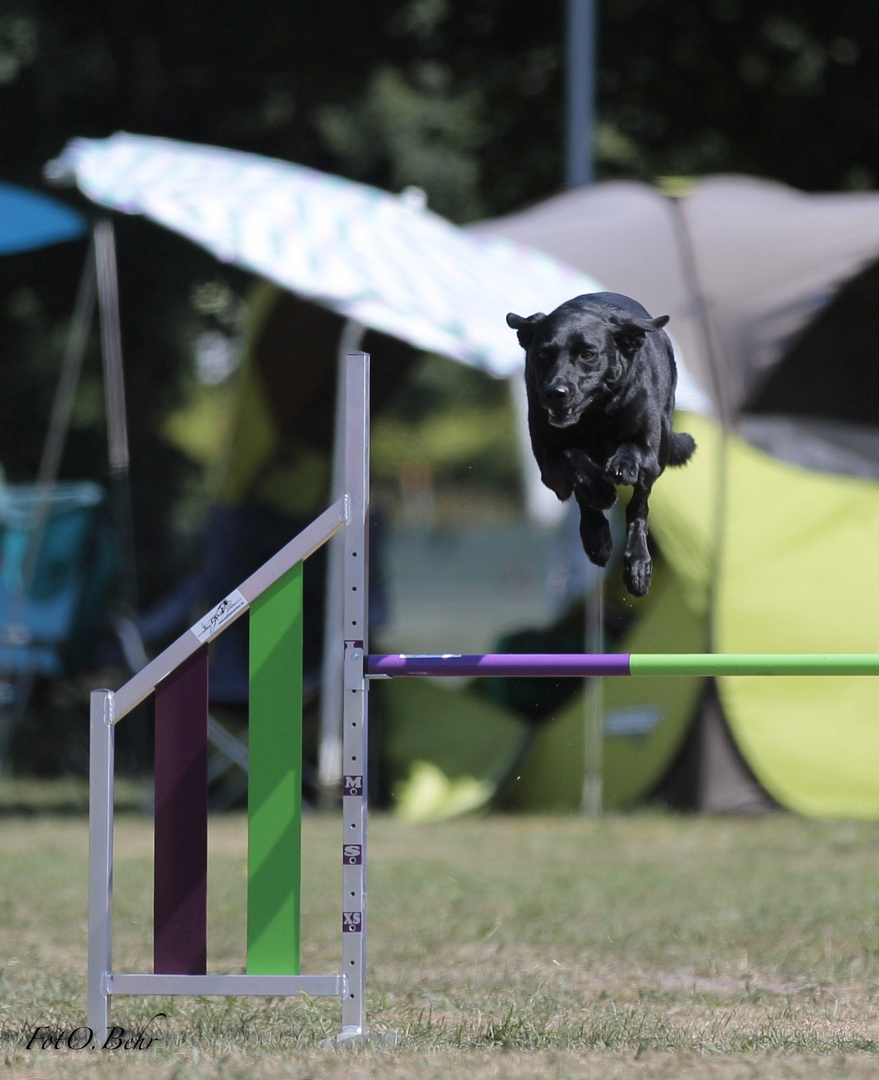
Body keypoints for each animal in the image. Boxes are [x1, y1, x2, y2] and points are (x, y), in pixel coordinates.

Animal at [505, 293, 699, 600]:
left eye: (588, 354)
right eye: (543, 355)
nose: (556, 393)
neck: (594, 415)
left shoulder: (648, 452)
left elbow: (632, 453)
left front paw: (621, 466)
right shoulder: (548, 470)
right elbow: (572, 458)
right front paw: (599, 489)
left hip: (661, 452)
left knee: (639, 508)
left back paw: (638, 566)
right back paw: (597, 536)